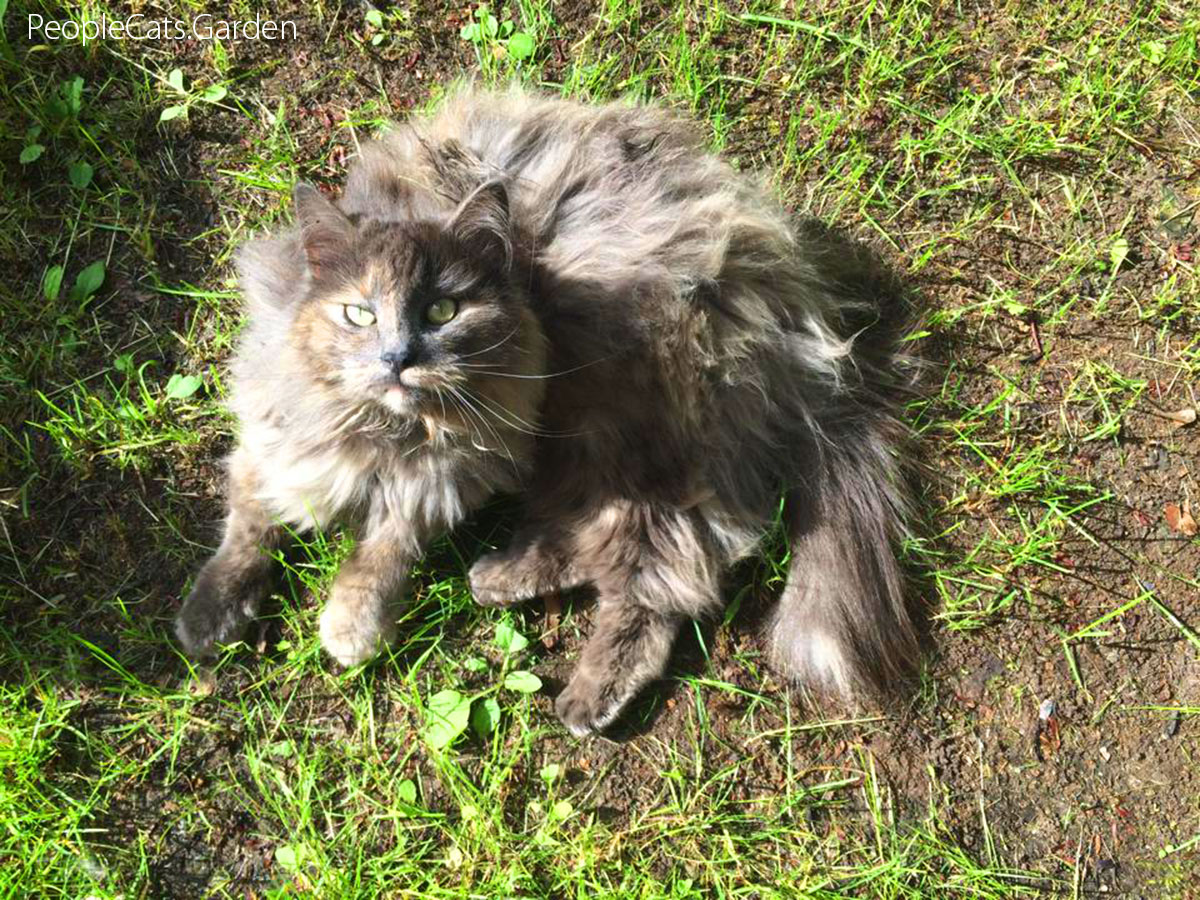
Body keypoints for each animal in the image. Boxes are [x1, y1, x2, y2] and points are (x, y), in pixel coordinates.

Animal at [175, 81, 916, 734]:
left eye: (442, 310)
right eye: (360, 313)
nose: (397, 356)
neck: (386, 433)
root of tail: (798, 310)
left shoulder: (443, 479)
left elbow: (382, 552)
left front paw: (349, 628)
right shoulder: (272, 439)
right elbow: (248, 526)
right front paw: (207, 617)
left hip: (627, 428)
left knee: (662, 578)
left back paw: (584, 695)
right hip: (598, 445)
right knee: (608, 547)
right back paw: (497, 578)